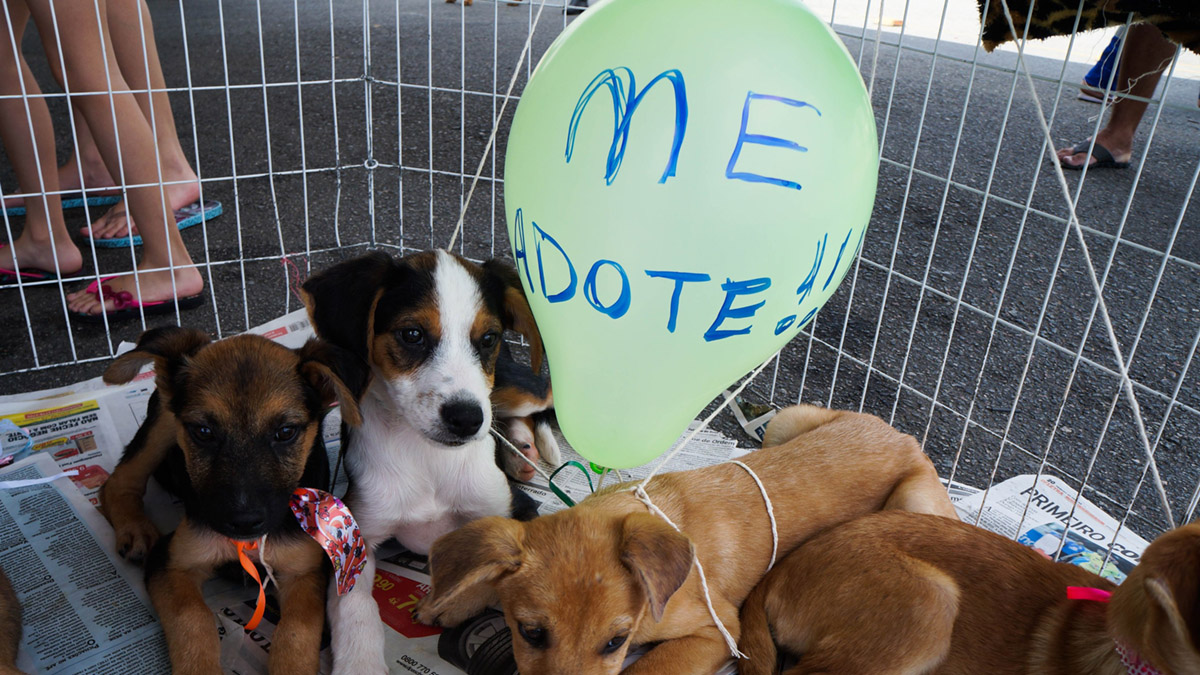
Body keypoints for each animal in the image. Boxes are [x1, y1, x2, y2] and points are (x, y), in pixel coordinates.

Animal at [96, 326, 360, 672]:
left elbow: (296, 633)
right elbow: (193, 618)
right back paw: (135, 528)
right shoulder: (170, 560)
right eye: (203, 432)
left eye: (286, 432)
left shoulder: (304, 570)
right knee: (116, 482)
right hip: (163, 421)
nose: (244, 522)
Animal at [307, 249, 554, 667]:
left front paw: (451, 604)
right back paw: (521, 452)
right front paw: (360, 663)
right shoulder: (352, 542)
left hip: (517, 389)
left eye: (488, 338)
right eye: (412, 334)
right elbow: (357, 611)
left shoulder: (518, 510)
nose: (468, 420)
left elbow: (499, 569)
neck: (429, 457)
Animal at [412, 403, 955, 672]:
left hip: (915, 504)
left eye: (616, 642)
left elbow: (649, 669)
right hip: (785, 422)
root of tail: (904, 437)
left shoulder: (717, 631)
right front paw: (448, 600)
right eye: (529, 633)